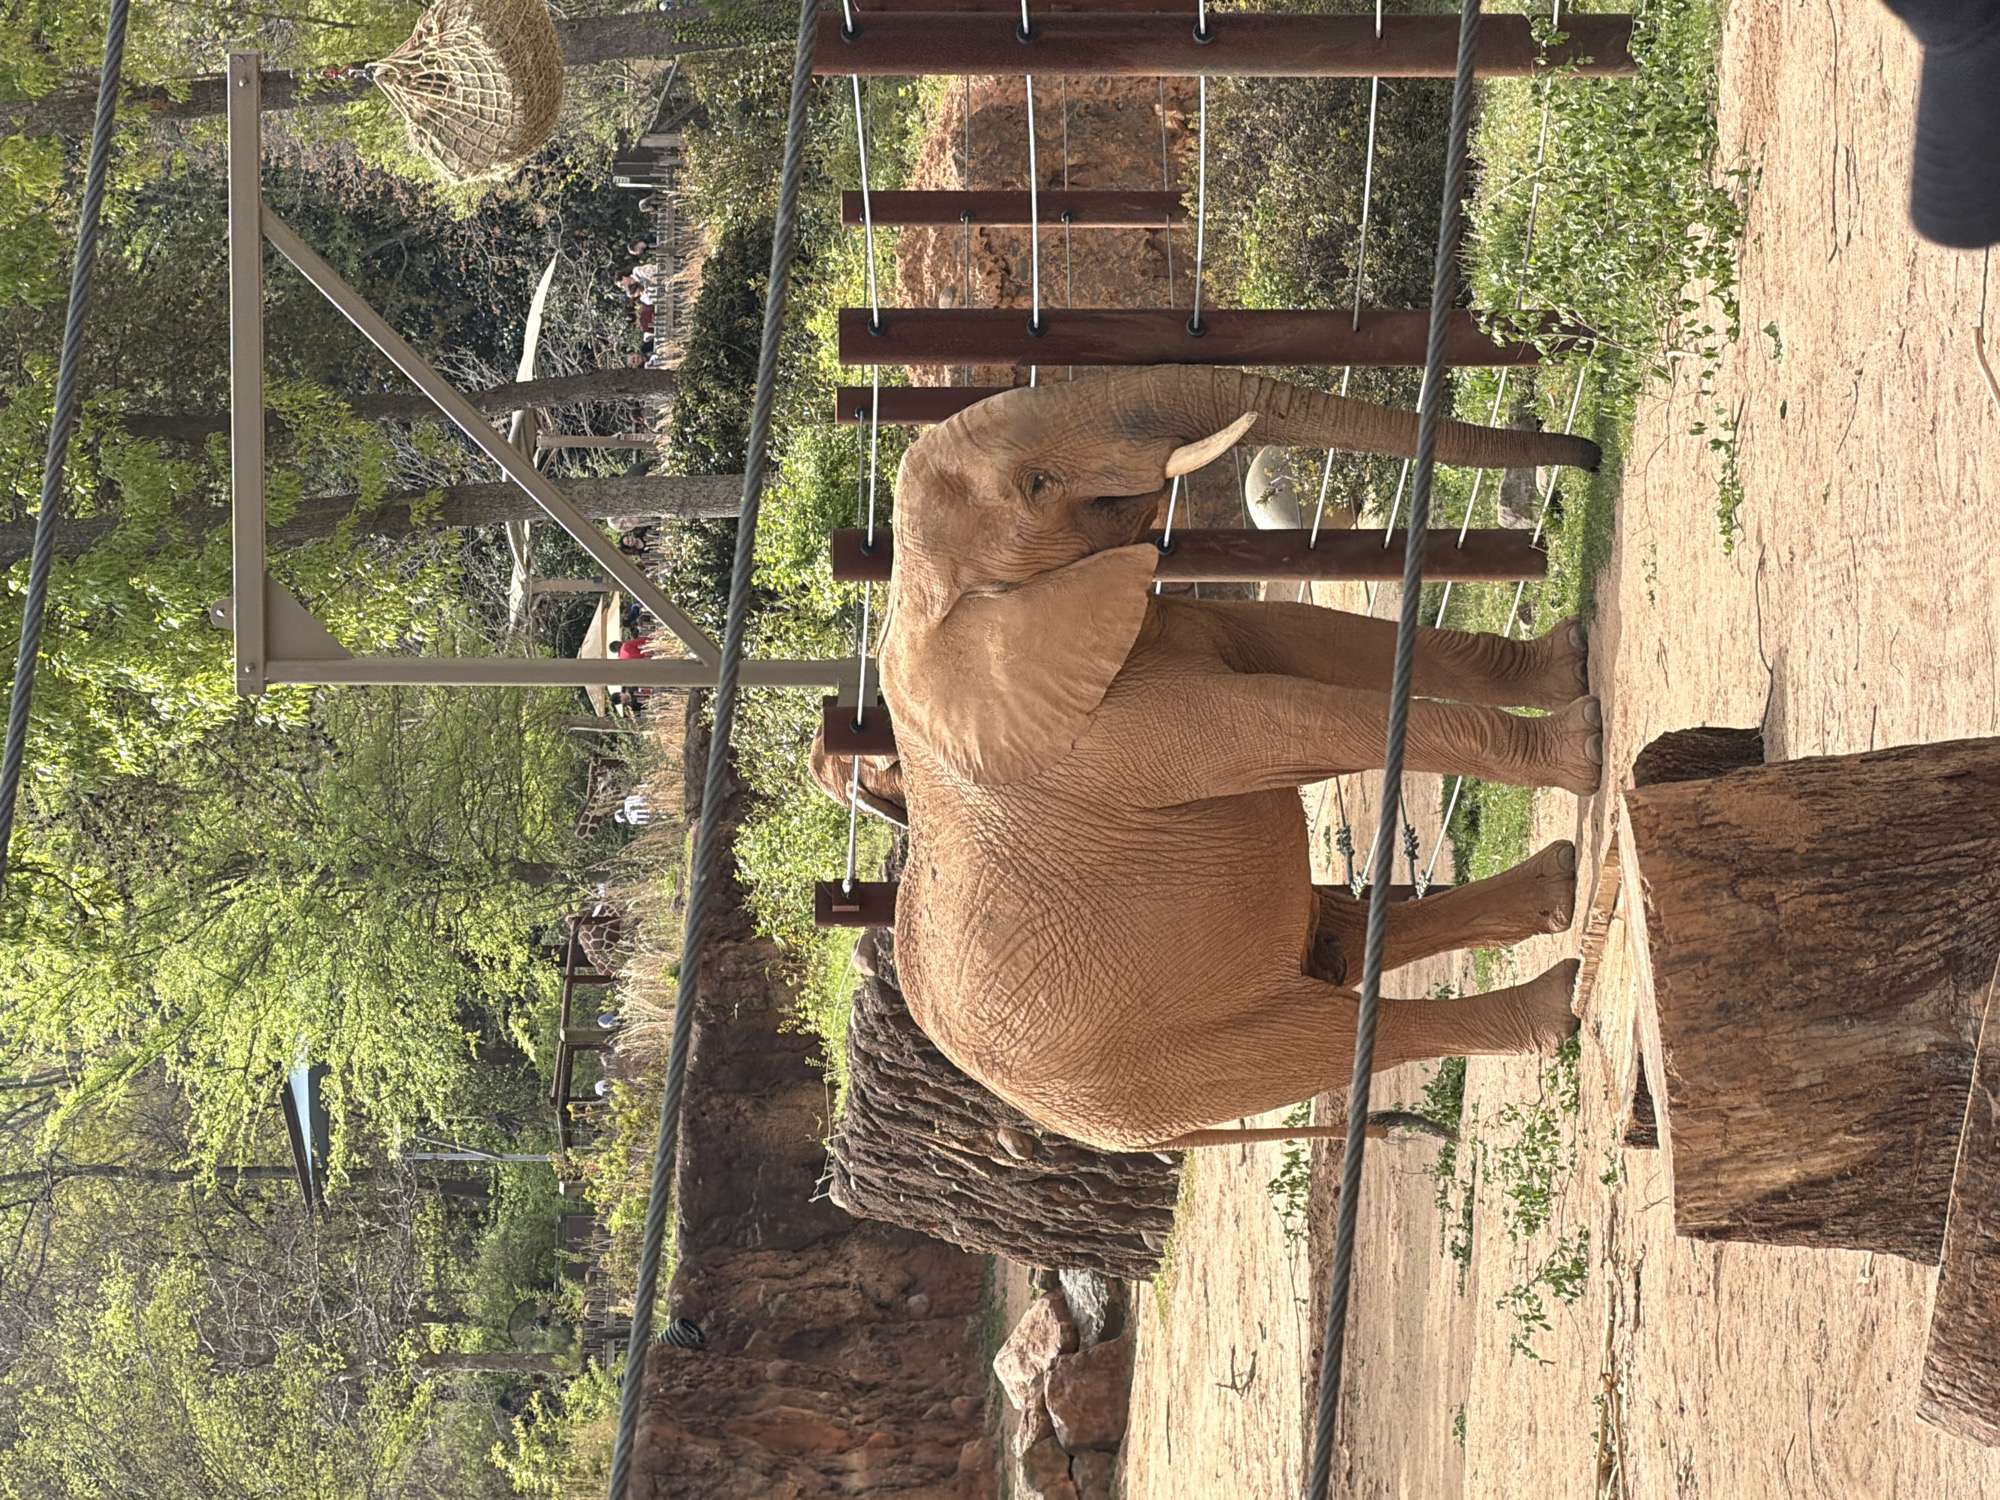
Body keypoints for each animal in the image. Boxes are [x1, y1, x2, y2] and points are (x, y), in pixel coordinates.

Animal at [871, 366, 1605, 1153]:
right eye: (1037, 483)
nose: (1592, 456)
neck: (915, 596)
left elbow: (1317, 638)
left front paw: (1572, 661)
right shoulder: (1104, 736)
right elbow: (1296, 721)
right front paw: (1585, 745)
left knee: (1335, 938)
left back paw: (1557, 887)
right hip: (1149, 1072)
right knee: (1326, 1037)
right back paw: (1557, 1002)